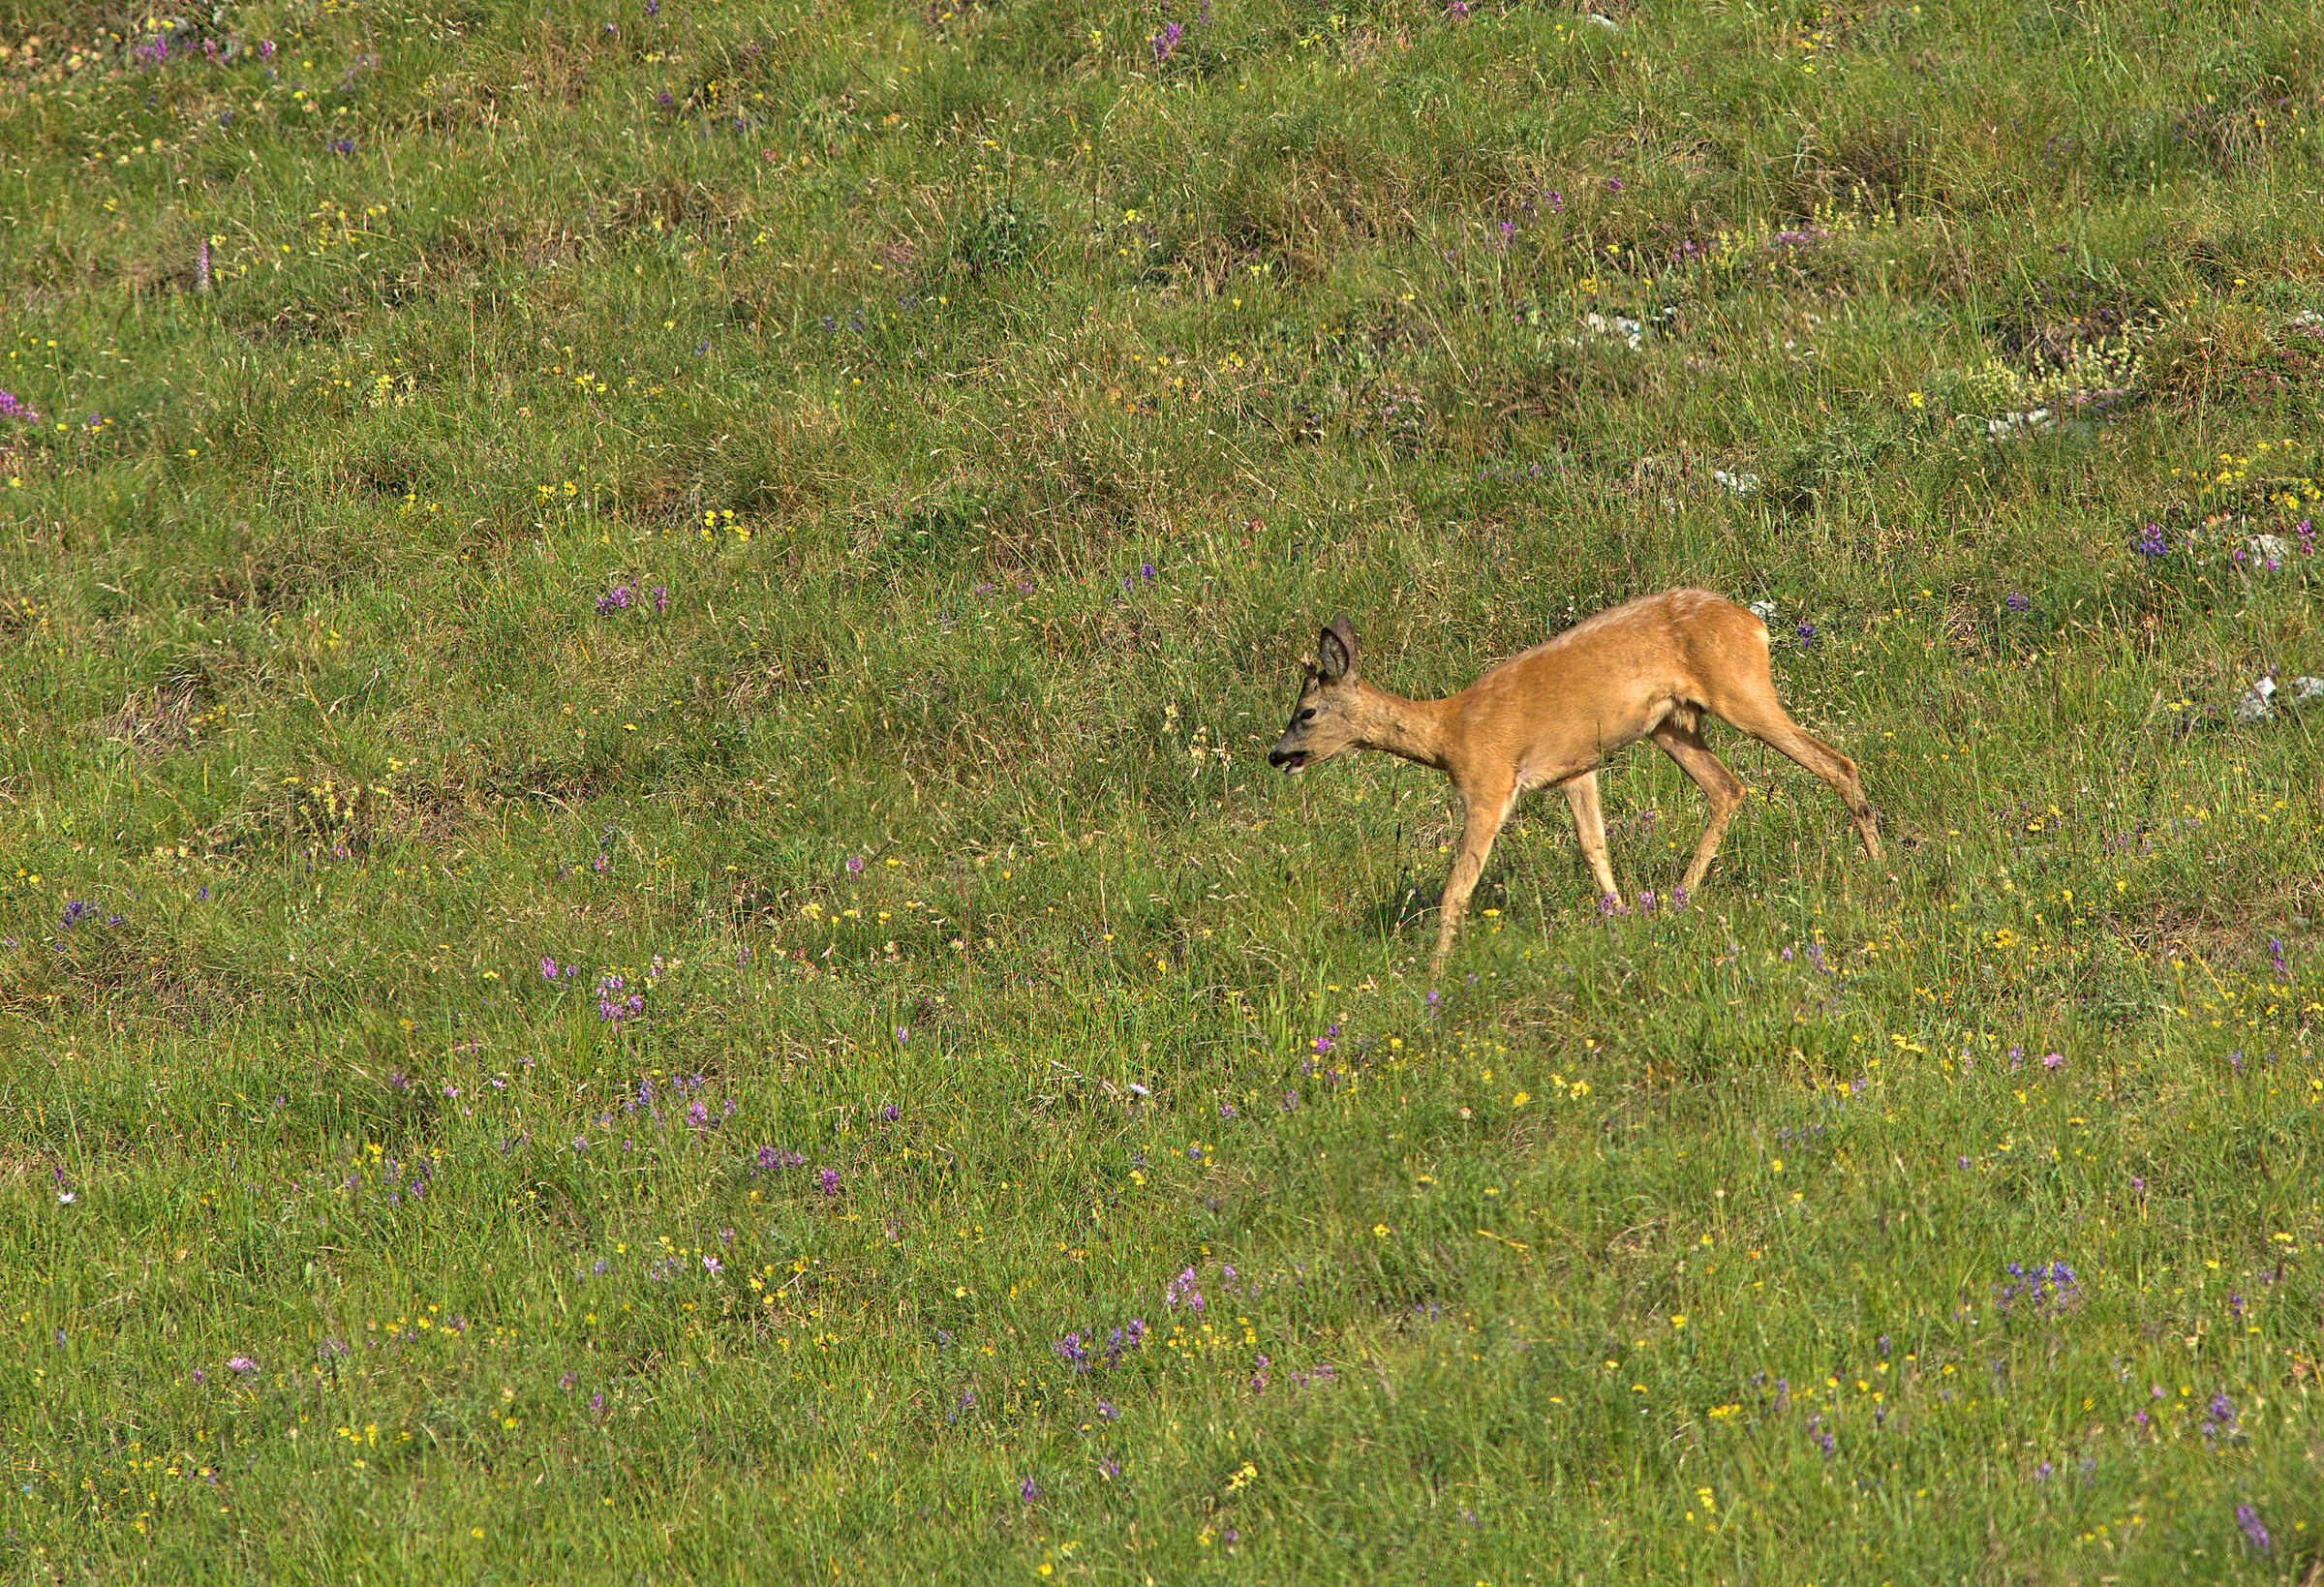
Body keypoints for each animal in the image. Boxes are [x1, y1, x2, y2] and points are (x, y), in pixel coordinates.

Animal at [1267, 588, 1881, 972]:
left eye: (1306, 712)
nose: (1276, 756)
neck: (1448, 734)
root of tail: (1754, 625)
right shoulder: (1575, 769)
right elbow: (1593, 846)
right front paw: (1621, 919)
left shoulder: (1490, 783)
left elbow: (1457, 886)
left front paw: (1433, 973)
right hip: (1670, 725)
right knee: (1727, 787)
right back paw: (1679, 898)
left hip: (1741, 691)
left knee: (1836, 763)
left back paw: (1879, 866)